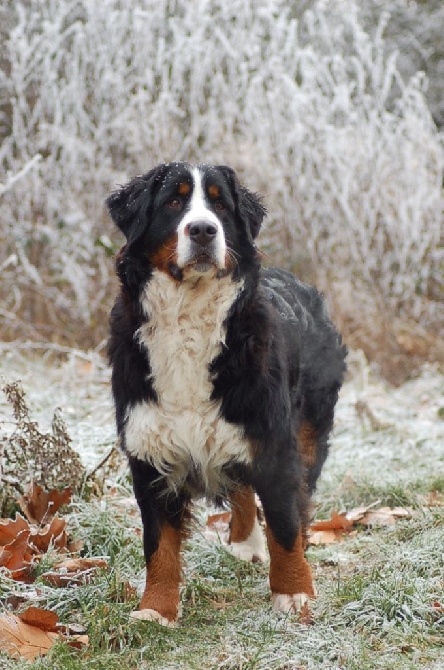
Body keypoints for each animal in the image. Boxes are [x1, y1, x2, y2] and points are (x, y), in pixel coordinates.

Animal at [107, 160, 346, 628]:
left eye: (220, 204)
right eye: (174, 201)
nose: (203, 229)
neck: (188, 318)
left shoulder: (273, 440)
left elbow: (285, 524)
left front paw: (294, 592)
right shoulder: (149, 448)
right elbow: (158, 544)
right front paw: (156, 609)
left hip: (307, 428)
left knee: (297, 498)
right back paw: (245, 543)